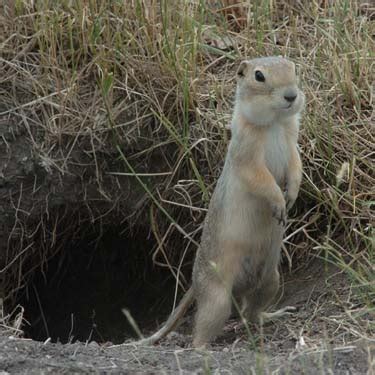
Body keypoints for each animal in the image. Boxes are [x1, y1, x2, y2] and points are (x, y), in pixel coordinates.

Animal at [135, 56, 306, 350]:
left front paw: (292, 194)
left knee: (251, 312)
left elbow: (296, 165)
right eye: (259, 76)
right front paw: (278, 201)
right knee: (204, 328)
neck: (273, 124)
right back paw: (203, 347)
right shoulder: (246, 154)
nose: (291, 95)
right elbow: (260, 178)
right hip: (217, 298)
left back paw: (272, 315)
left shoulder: (292, 141)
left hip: (271, 280)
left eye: (293, 68)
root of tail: (194, 282)